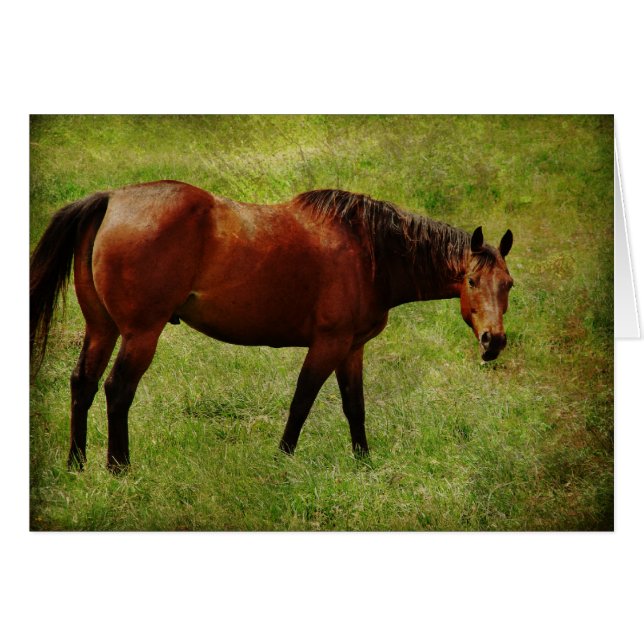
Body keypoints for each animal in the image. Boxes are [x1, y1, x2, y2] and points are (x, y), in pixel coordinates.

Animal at [30, 181, 513, 471]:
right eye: (472, 281)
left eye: (508, 284)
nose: (494, 342)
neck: (369, 250)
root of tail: (112, 199)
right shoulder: (328, 344)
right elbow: (302, 402)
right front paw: (283, 459)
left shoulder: (352, 348)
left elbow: (354, 407)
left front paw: (364, 462)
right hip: (140, 334)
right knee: (117, 390)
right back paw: (119, 467)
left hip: (102, 328)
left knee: (83, 383)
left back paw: (77, 464)